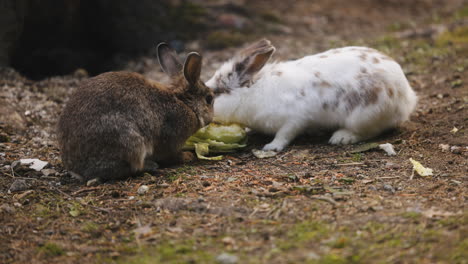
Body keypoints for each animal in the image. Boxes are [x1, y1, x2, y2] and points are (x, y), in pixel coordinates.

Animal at [57, 42, 216, 182]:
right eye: (209, 99)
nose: (211, 119)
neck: (185, 103)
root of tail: (77, 169)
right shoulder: (172, 138)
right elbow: (172, 154)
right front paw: (187, 156)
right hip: (129, 140)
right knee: (131, 167)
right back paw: (151, 166)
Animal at [207, 38, 418, 151]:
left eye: (214, 94)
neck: (252, 92)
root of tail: (406, 96)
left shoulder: (294, 119)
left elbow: (285, 135)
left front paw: (271, 147)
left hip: (364, 116)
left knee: (370, 131)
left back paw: (341, 138)